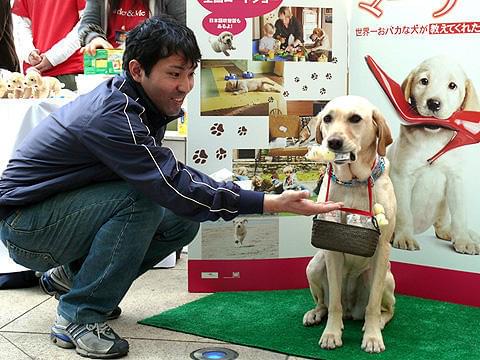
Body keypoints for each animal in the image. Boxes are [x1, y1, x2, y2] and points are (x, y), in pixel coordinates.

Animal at [306, 95, 396, 352]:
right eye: (327, 118)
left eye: (355, 118)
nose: (333, 142)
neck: (353, 181)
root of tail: (351, 311)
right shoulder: (331, 246)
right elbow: (334, 302)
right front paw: (331, 333)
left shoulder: (382, 247)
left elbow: (373, 305)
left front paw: (373, 337)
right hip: (314, 266)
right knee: (326, 303)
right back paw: (315, 314)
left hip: (386, 277)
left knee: (387, 308)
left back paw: (376, 323)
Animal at [388, 54, 478, 255]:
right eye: (424, 81)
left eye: (452, 85)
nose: (433, 103)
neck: (432, 138)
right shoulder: (401, 178)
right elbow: (404, 213)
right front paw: (404, 237)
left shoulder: (456, 180)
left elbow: (460, 214)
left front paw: (463, 240)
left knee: (442, 224)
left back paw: (455, 233)